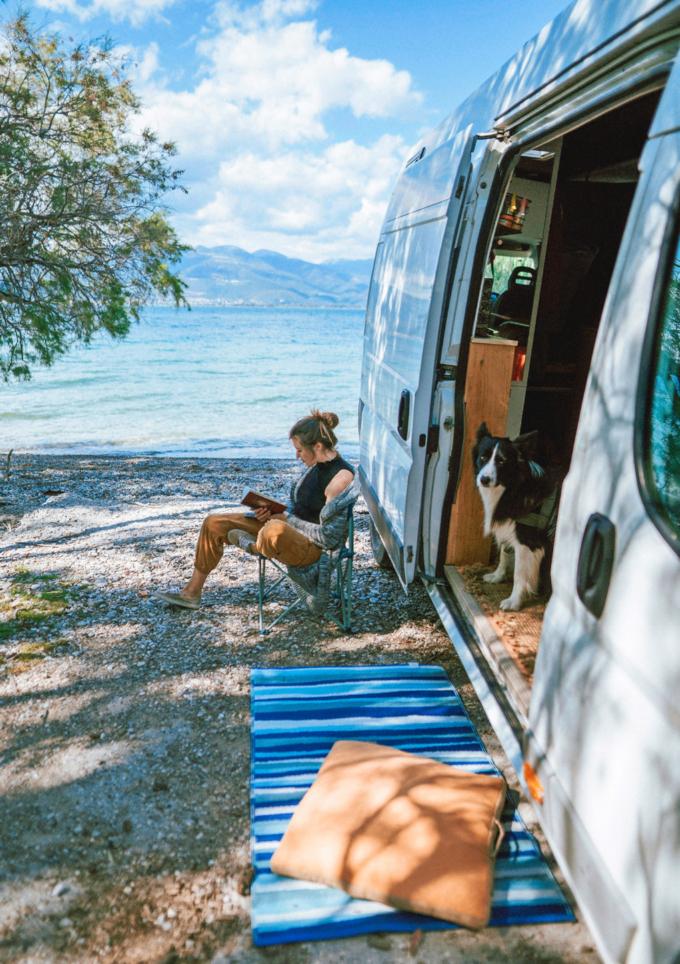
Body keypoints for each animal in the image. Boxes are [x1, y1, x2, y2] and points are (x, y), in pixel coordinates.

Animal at [472, 422, 559, 611]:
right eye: (483, 457)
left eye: (501, 461)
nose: (484, 480)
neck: (514, 486)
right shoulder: (508, 527)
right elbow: (504, 554)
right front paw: (497, 576)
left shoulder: (527, 541)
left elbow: (519, 573)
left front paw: (514, 601)